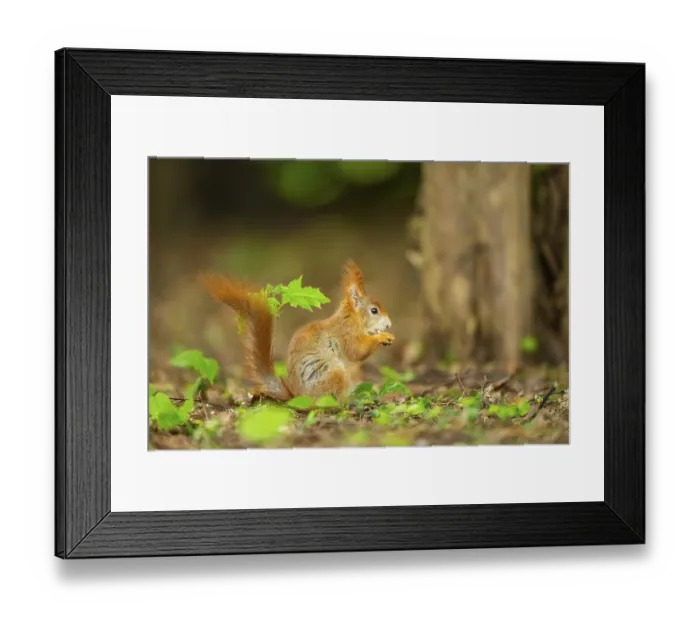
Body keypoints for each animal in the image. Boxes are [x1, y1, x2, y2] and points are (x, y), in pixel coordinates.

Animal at [200, 260, 395, 403]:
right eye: (374, 311)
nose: (389, 324)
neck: (352, 318)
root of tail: (298, 397)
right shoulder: (346, 334)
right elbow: (357, 351)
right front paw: (382, 337)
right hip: (333, 374)